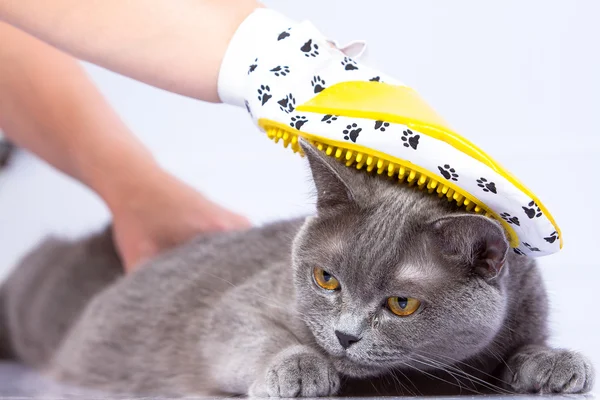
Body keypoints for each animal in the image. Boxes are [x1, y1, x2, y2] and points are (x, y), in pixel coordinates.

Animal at [0, 144, 592, 396]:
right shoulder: (239, 307)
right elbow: (248, 333)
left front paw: (555, 361)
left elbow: (527, 343)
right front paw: (300, 369)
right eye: (325, 279)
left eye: (401, 304)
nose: (345, 337)